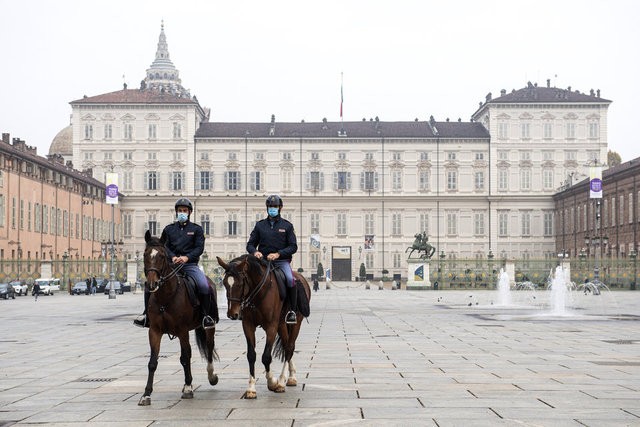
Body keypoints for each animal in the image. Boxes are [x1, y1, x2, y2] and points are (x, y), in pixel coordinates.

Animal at [139, 231, 219, 408]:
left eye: (162, 256)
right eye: (145, 254)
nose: (152, 284)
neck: (165, 297)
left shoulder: (182, 331)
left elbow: (185, 357)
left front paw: (188, 387)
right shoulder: (154, 331)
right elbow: (152, 362)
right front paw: (146, 394)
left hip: (209, 327)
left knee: (209, 349)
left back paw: (211, 376)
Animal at [216, 256, 312, 400]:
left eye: (240, 284)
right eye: (225, 283)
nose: (232, 314)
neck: (257, 294)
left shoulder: (271, 327)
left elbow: (266, 356)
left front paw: (272, 382)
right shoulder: (248, 326)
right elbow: (251, 355)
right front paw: (251, 388)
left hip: (295, 322)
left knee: (290, 348)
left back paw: (282, 381)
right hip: (281, 325)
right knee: (286, 346)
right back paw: (291, 377)